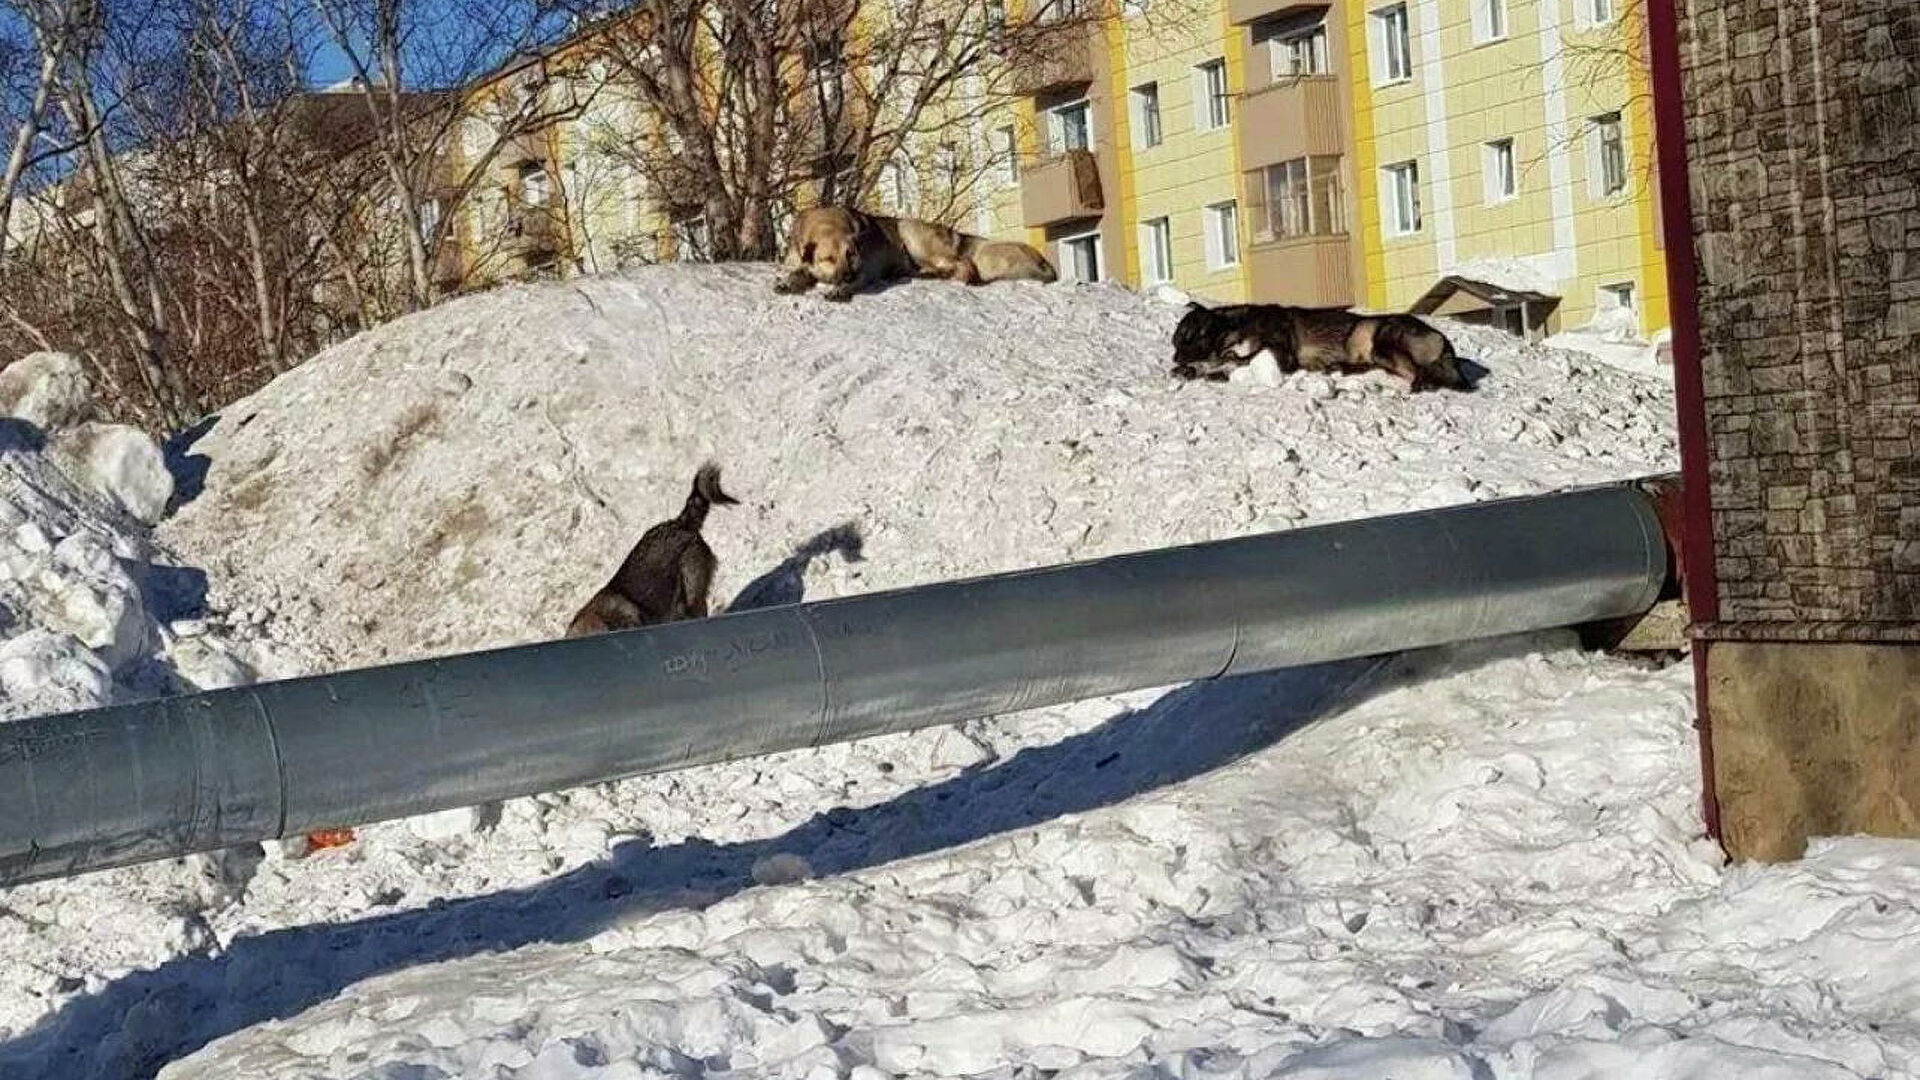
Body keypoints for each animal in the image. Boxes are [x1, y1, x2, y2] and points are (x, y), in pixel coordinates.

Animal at [1167, 297, 1466, 390]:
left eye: (1190, 337)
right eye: (1175, 342)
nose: (1175, 359)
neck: (1234, 327)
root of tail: (1444, 341)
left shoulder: (1280, 353)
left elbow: (1235, 360)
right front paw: (1189, 371)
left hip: (1382, 340)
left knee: (1420, 372)